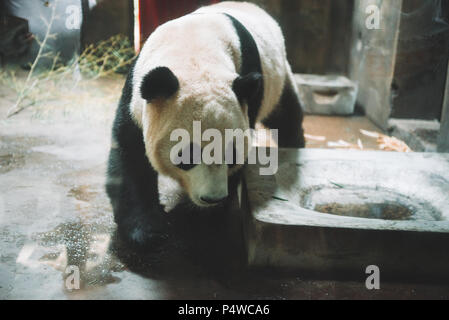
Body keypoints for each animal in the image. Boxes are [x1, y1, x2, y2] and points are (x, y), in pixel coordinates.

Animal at [106, 1, 304, 249]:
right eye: (187, 155)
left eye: (231, 154)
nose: (212, 198)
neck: (193, 54)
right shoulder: (136, 96)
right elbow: (130, 155)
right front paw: (147, 232)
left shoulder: (247, 98)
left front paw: (201, 219)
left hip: (279, 78)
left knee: (286, 116)